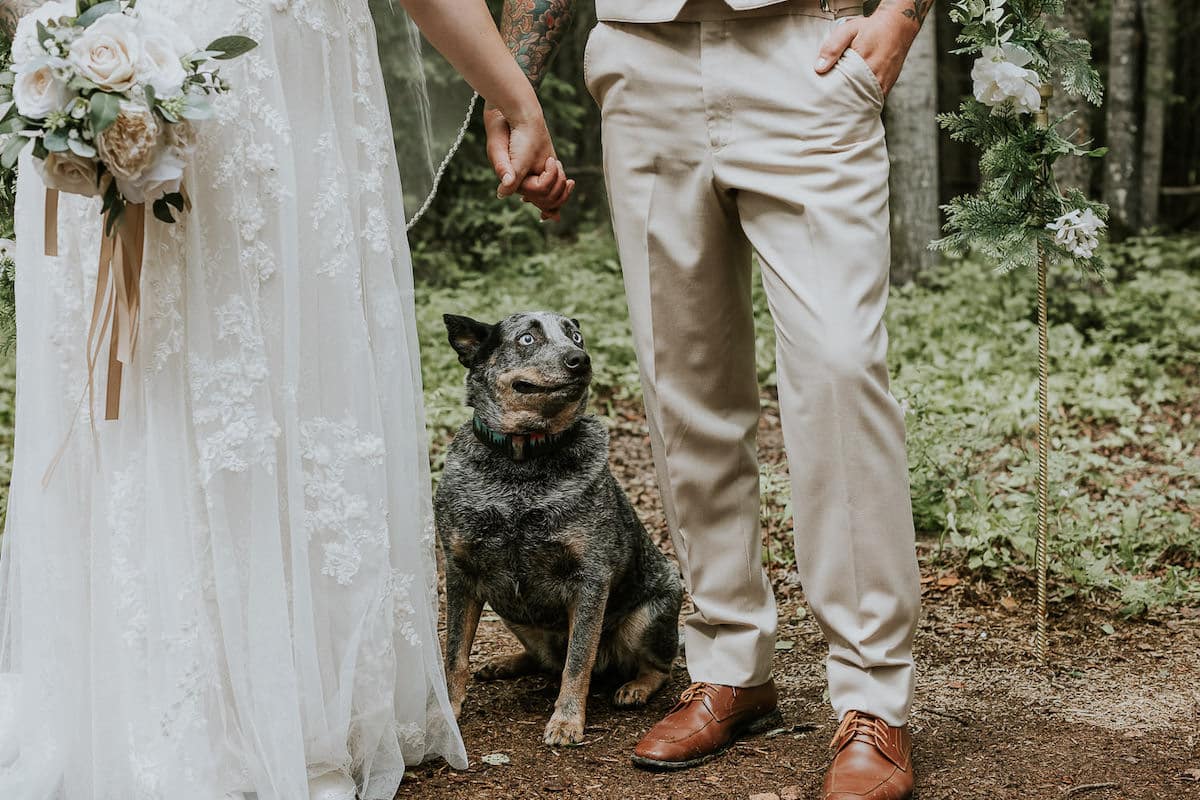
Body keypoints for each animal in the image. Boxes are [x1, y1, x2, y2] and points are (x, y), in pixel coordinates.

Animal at [439, 309, 686, 748]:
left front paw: (567, 721)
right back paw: (505, 662)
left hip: (647, 617)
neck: (520, 465)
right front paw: (450, 712)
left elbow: (578, 661)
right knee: (545, 659)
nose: (579, 359)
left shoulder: (590, 579)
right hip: (511, 613)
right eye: (526, 339)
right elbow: (455, 655)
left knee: (657, 666)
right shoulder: (460, 572)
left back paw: (636, 687)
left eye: (576, 337)